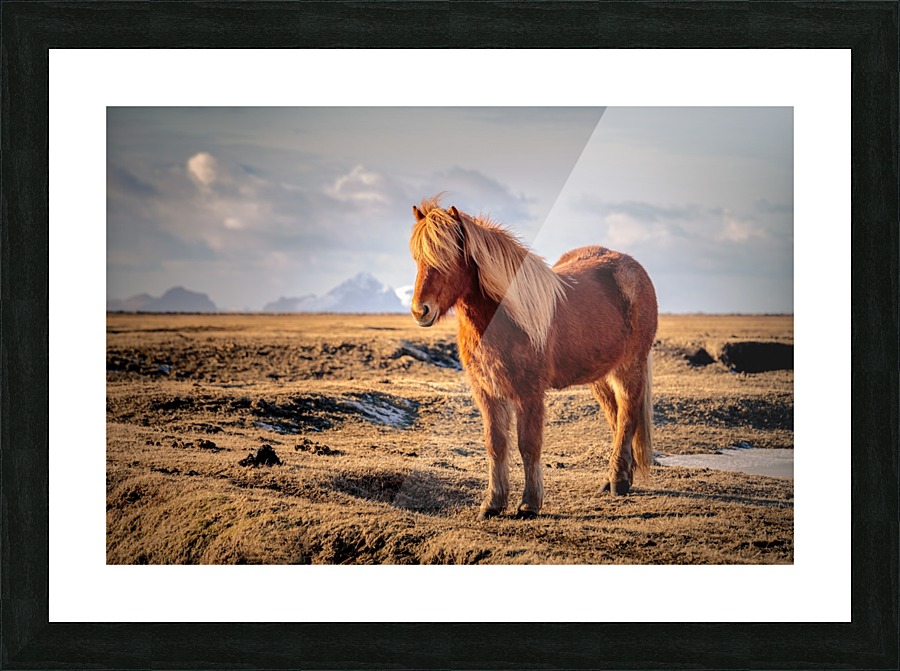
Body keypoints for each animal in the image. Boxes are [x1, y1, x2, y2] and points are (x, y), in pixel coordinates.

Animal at [409, 195, 658, 519]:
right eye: (417, 258)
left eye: (449, 257)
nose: (420, 311)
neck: (504, 319)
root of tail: (633, 268)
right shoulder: (487, 392)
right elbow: (496, 444)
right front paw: (493, 503)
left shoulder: (529, 393)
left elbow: (528, 445)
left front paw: (529, 503)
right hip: (601, 377)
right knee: (617, 418)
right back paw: (617, 478)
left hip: (629, 368)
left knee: (627, 416)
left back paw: (618, 482)